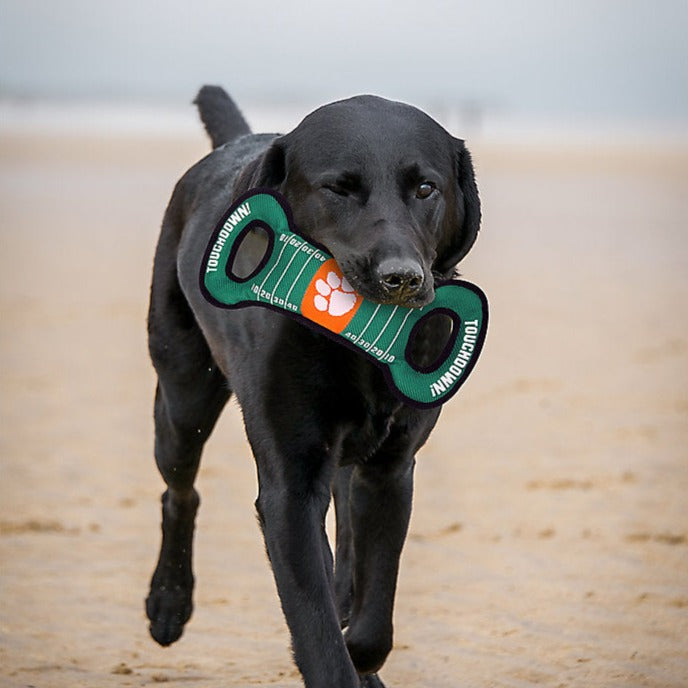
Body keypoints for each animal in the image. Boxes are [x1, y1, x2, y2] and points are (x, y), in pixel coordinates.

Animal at [145, 86, 478, 688]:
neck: (357, 350)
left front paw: (363, 653)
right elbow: (318, 628)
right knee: (180, 490)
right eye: (337, 189)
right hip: (183, 402)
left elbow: (372, 619)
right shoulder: (290, 487)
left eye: (425, 188)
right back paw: (169, 602)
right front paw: (341, 659)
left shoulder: (389, 472)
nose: (402, 278)